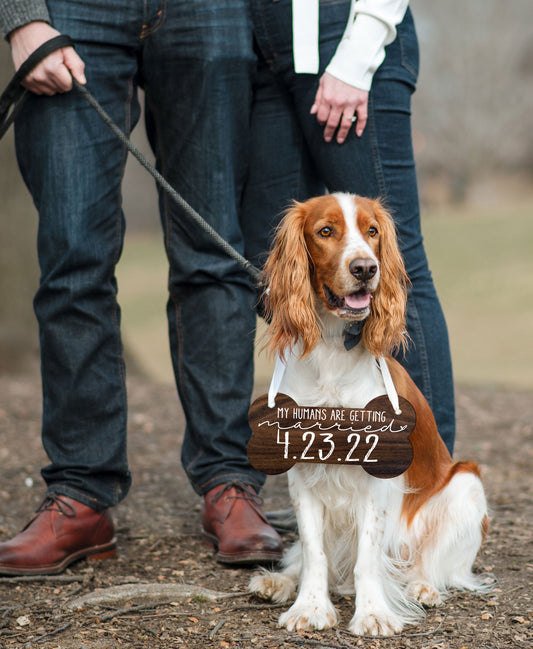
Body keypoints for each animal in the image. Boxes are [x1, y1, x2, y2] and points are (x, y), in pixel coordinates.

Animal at [247, 194, 488, 636]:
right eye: (325, 231)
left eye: (372, 231)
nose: (365, 268)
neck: (332, 350)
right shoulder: (302, 472)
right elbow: (314, 551)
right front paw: (309, 607)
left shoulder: (379, 479)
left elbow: (368, 556)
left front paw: (373, 613)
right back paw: (278, 581)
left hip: (466, 486)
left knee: (433, 565)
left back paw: (422, 588)